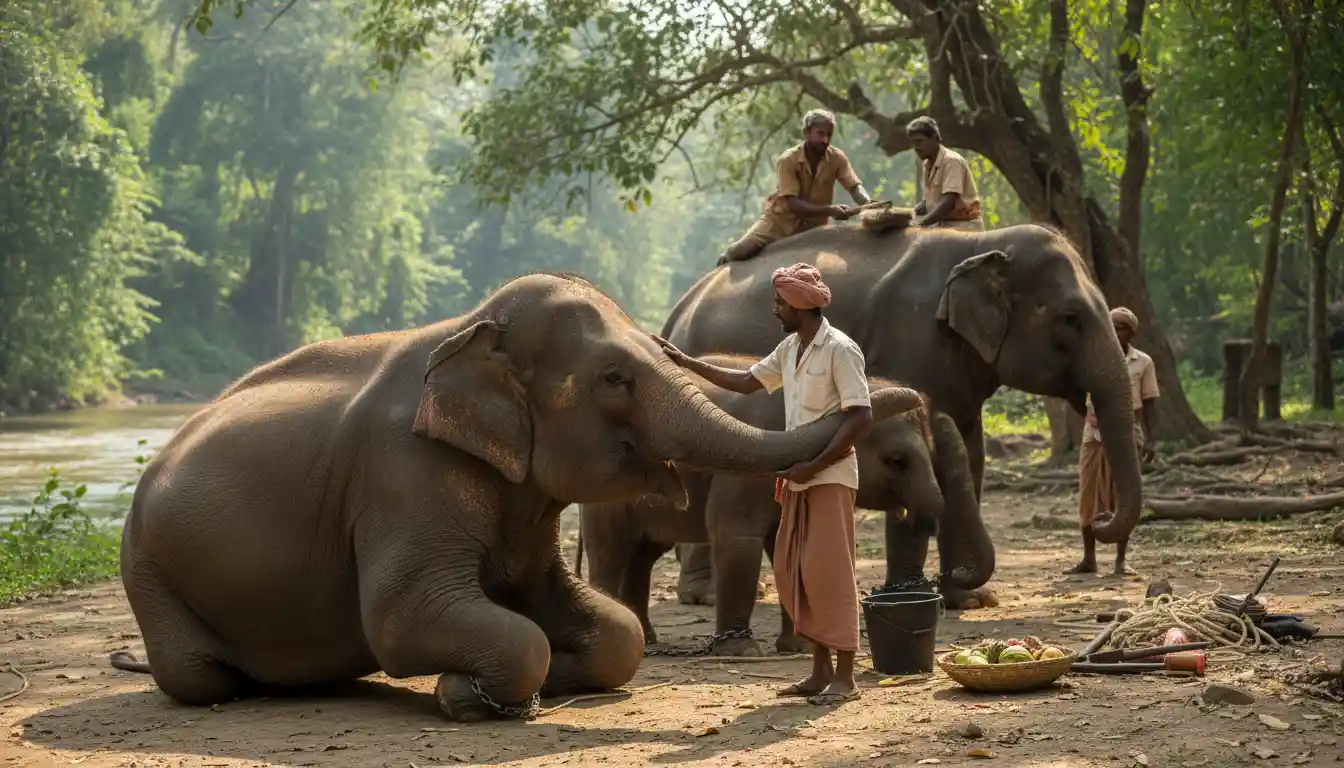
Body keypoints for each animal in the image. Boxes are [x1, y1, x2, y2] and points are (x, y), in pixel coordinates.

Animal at [108, 272, 927, 722]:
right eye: (615, 379)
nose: (903, 395)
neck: (471, 328)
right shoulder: (402, 476)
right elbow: (404, 620)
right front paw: (465, 695)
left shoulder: (527, 506)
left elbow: (608, 631)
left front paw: (532, 677)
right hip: (148, 571)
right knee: (198, 676)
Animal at [578, 354, 986, 657]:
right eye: (896, 461)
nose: (919, 397)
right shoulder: (746, 470)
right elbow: (736, 537)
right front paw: (743, 652)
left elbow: (788, 546)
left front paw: (800, 646)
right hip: (604, 494)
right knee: (612, 553)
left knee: (642, 557)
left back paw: (647, 640)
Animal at [665, 223, 1143, 609]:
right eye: (1070, 318)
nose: (1101, 520)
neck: (980, 244)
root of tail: (680, 307)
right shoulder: (910, 341)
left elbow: (970, 456)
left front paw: (968, 600)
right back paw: (704, 596)